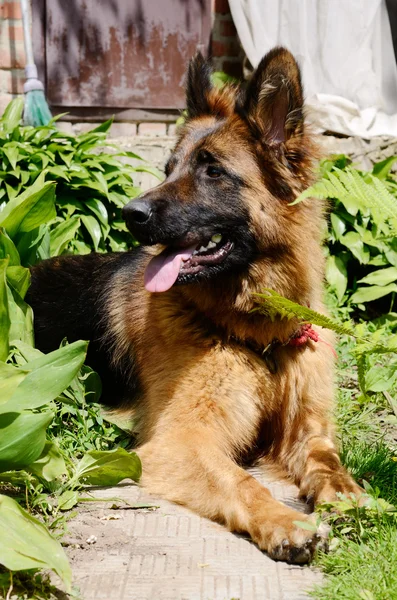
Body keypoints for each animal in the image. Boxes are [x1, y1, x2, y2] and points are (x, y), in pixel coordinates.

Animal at [27, 48, 362, 568]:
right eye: (169, 168)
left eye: (213, 171)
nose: (131, 214)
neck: (258, 335)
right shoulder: (181, 440)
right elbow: (240, 482)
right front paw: (287, 523)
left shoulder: (308, 428)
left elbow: (328, 461)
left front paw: (347, 493)